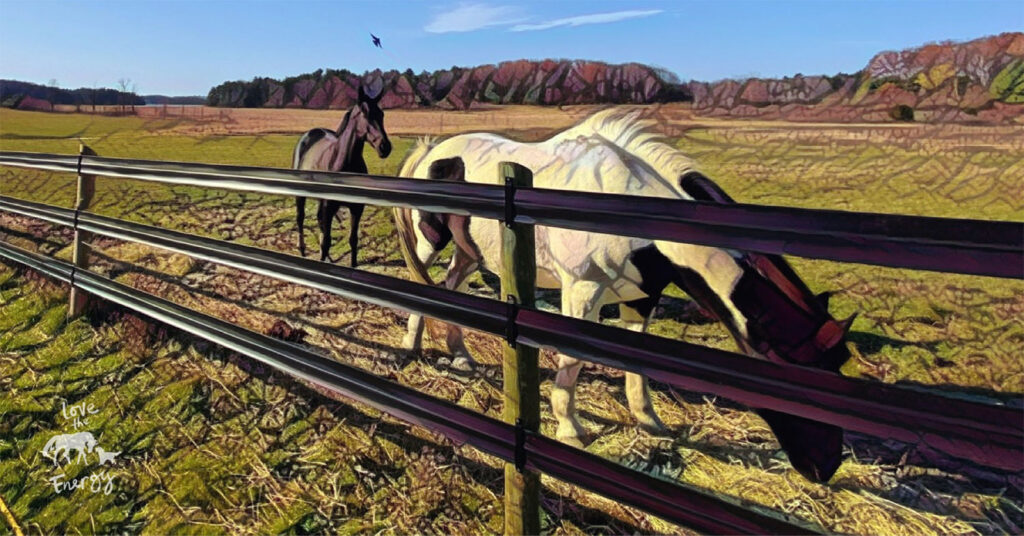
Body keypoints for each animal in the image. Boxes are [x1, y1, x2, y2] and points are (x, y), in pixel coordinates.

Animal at [299, 86, 393, 268]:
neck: (344, 163)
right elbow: (327, 240)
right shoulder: (329, 206)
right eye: (364, 113)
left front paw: (353, 264)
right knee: (300, 219)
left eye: (382, 114)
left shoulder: (357, 208)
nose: (385, 147)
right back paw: (302, 250)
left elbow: (353, 239)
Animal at [391, 109, 856, 481]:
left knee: (449, 288)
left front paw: (649, 421)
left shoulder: (640, 298)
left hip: (471, 253)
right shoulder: (582, 291)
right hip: (430, 241)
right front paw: (570, 428)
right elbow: (572, 359)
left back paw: (459, 354)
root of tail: (434, 150)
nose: (825, 468)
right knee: (418, 285)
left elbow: (637, 362)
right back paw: (411, 346)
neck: (629, 212)